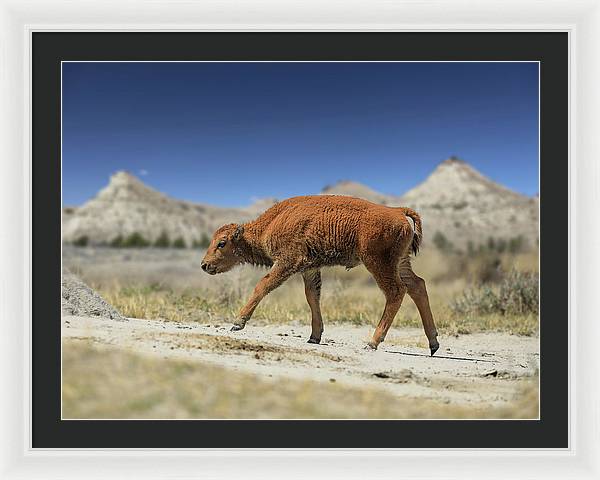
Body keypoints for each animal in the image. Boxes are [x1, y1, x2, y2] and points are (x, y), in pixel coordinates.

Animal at [202, 195, 440, 356]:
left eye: (222, 243)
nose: (204, 265)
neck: (271, 224)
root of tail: (398, 211)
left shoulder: (288, 262)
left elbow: (263, 285)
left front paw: (237, 322)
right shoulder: (309, 269)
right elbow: (312, 297)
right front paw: (314, 337)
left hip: (378, 263)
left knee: (396, 291)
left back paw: (372, 342)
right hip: (401, 263)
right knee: (417, 286)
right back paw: (433, 343)